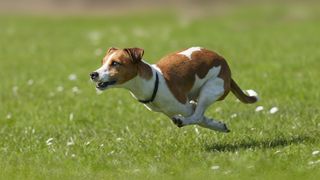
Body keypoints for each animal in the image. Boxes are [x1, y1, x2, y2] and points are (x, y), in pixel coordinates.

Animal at [90, 47, 258, 133]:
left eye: (115, 63)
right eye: (103, 62)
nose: (93, 74)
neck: (153, 82)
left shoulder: (185, 106)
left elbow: (198, 117)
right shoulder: (176, 109)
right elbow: (203, 119)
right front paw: (218, 126)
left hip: (209, 89)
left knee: (197, 114)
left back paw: (183, 120)